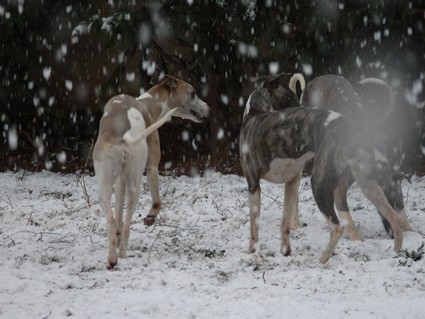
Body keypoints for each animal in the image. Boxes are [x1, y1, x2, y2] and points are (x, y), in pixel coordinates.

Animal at [95, 75, 210, 270]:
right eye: (193, 93)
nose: (209, 108)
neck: (147, 103)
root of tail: (122, 136)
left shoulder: (120, 181)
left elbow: (118, 212)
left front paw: (116, 240)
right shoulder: (152, 166)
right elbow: (157, 202)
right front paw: (150, 217)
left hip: (105, 185)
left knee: (111, 218)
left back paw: (112, 258)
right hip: (136, 184)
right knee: (128, 223)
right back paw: (122, 253)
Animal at [238, 74, 408, 264]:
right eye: (288, 97)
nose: (302, 107)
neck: (255, 112)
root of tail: (353, 129)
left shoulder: (253, 185)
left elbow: (254, 226)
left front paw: (251, 252)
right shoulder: (292, 182)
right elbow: (285, 223)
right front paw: (285, 251)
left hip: (319, 182)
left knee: (337, 227)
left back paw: (321, 259)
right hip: (370, 185)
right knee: (394, 218)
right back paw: (396, 251)